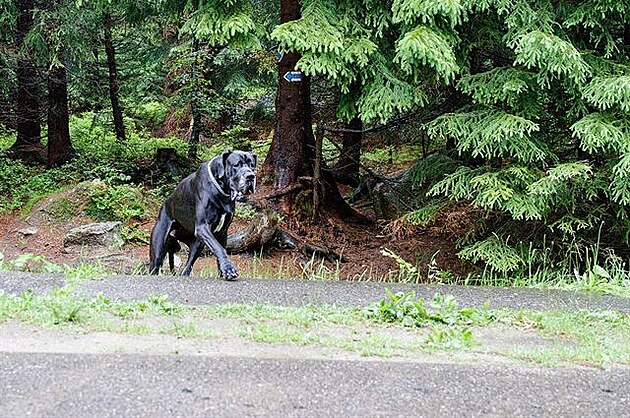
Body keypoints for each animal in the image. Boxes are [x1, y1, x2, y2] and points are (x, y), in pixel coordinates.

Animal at [150, 149, 256, 280]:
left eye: (252, 166)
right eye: (236, 165)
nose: (251, 176)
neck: (222, 192)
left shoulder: (222, 233)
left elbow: (219, 249)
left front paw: (224, 271)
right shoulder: (202, 226)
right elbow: (218, 248)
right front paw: (229, 268)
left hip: (197, 244)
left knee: (187, 267)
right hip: (159, 247)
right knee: (155, 265)